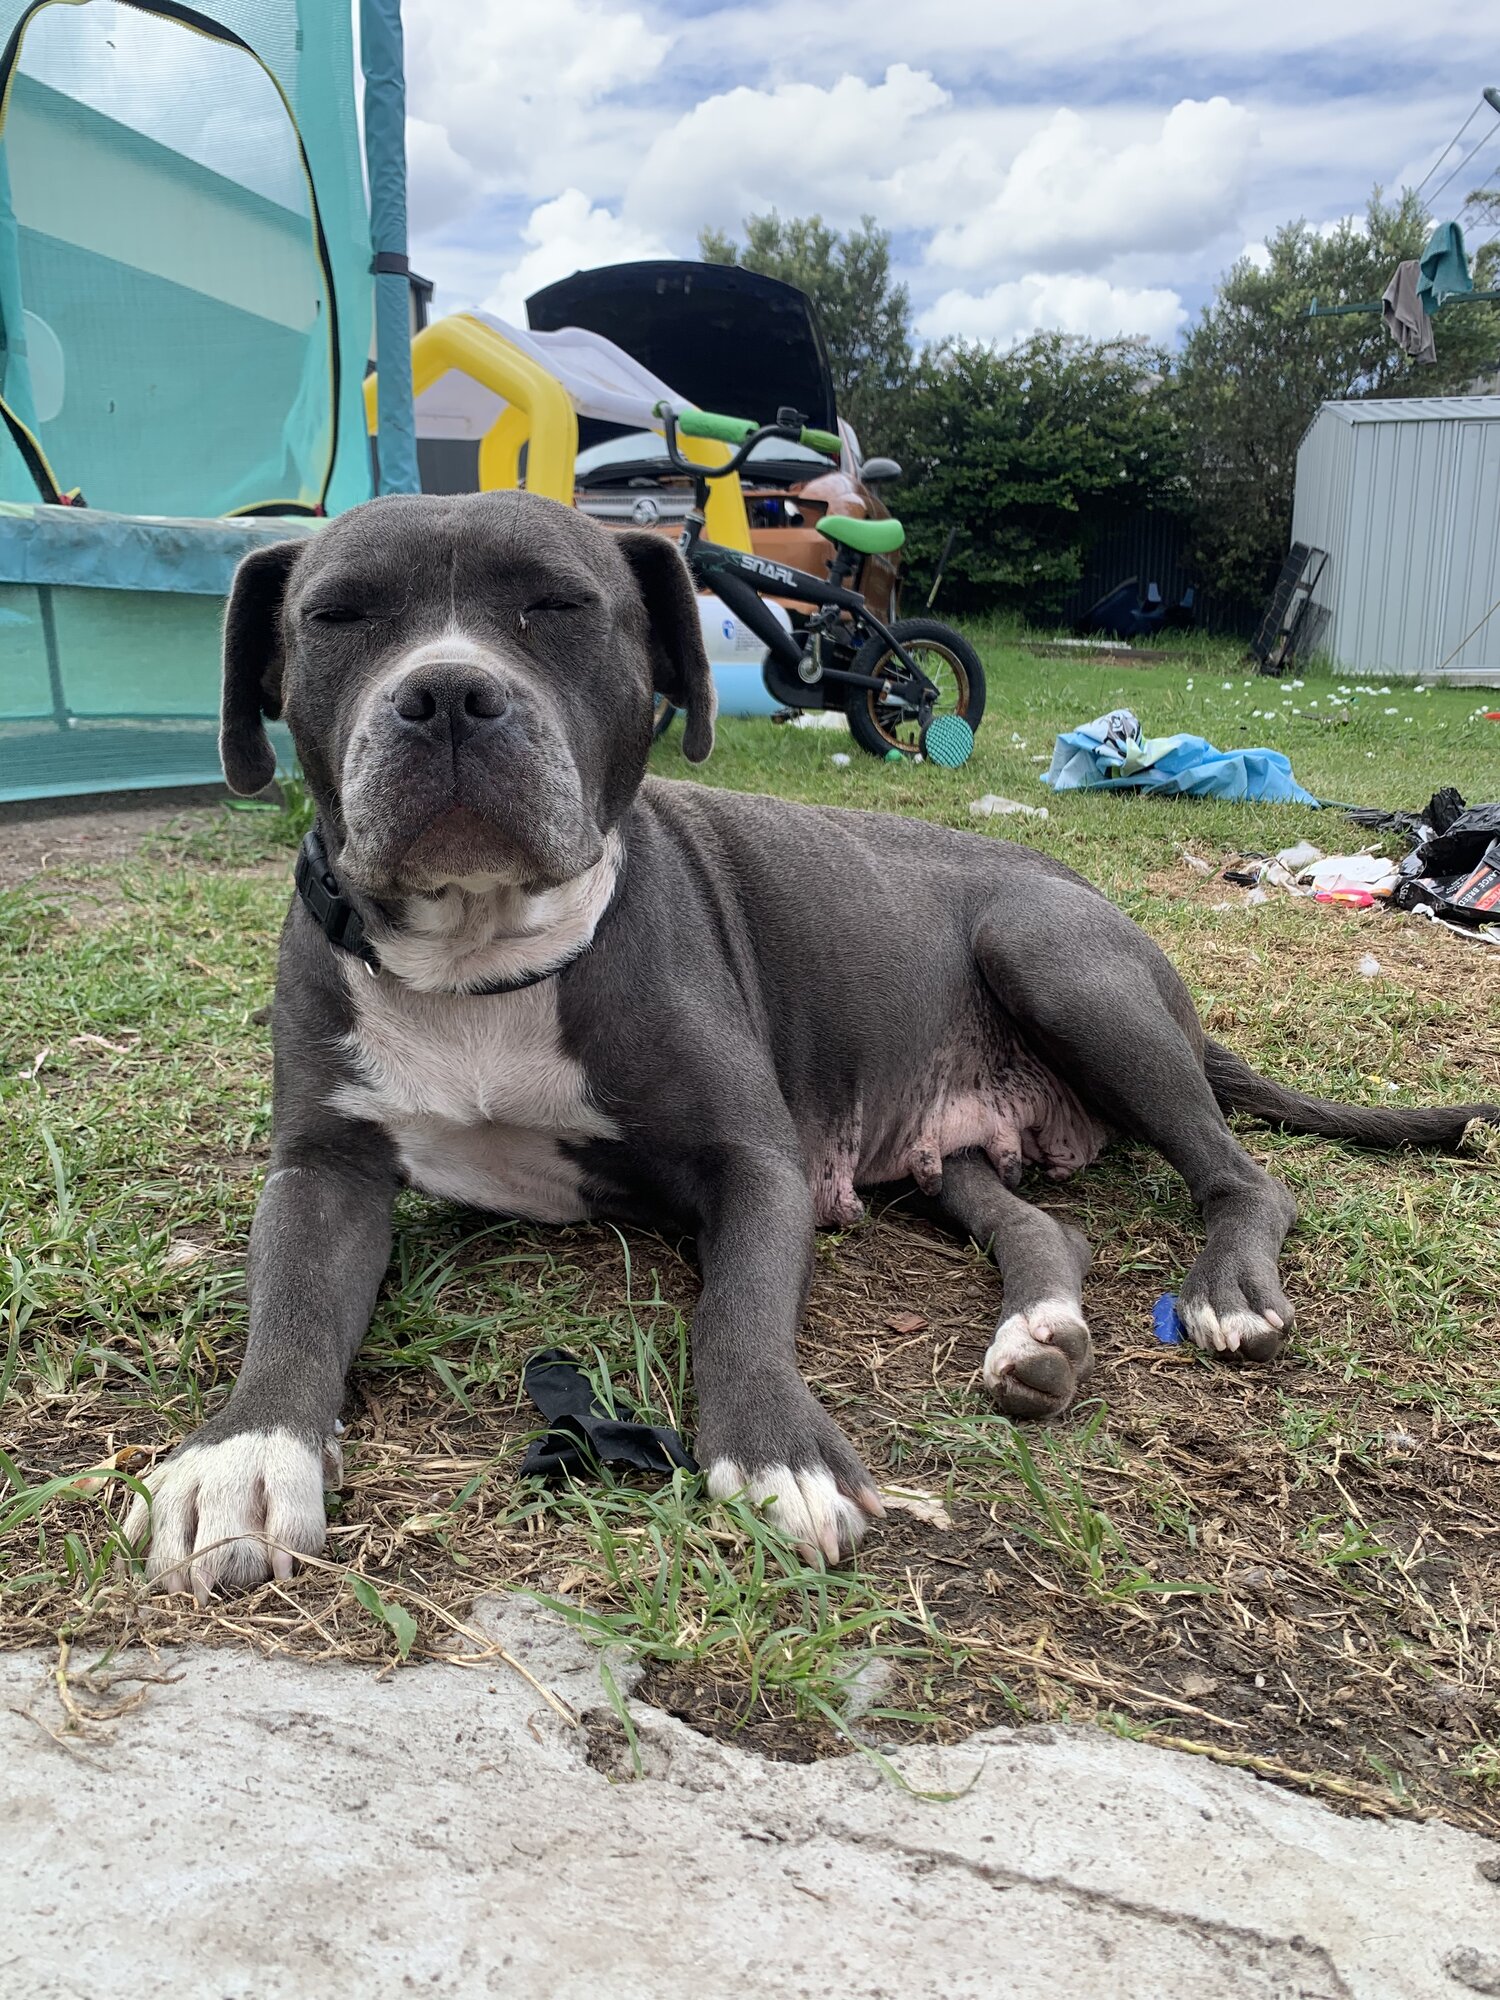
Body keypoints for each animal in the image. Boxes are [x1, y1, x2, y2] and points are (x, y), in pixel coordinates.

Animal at [126, 492, 1496, 1600]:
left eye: (560, 605)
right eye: (339, 614)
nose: (450, 691)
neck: (485, 957)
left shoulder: (756, 1165)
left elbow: (735, 1309)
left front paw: (781, 1451)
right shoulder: (325, 1172)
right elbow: (289, 1306)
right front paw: (245, 1455)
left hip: (1055, 956)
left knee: (1247, 1176)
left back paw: (1227, 1289)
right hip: (956, 1148)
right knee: (1050, 1230)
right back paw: (1037, 1335)